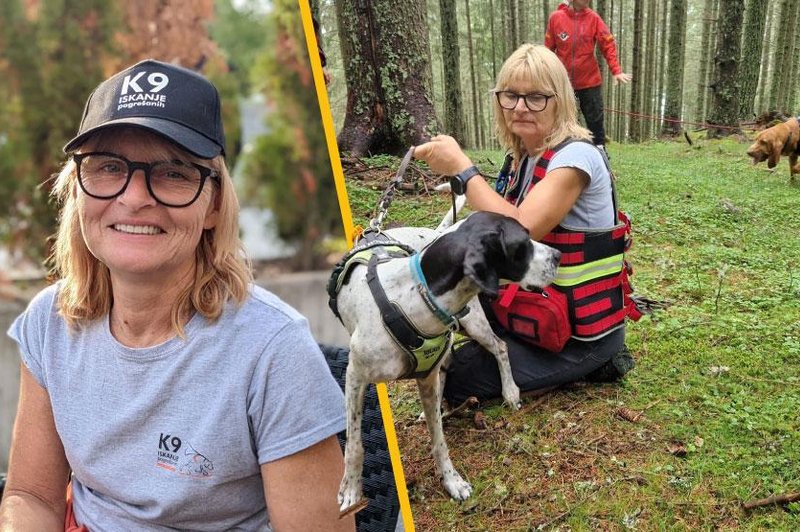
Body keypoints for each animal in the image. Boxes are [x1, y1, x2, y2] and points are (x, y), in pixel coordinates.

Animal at [334, 211, 560, 512]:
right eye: (522, 244)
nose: (558, 256)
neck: (416, 296)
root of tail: (433, 232)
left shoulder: (424, 374)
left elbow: (439, 440)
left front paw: (452, 480)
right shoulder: (356, 378)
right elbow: (355, 445)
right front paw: (351, 490)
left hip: (473, 323)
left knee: (499, 347)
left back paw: (510, 392)